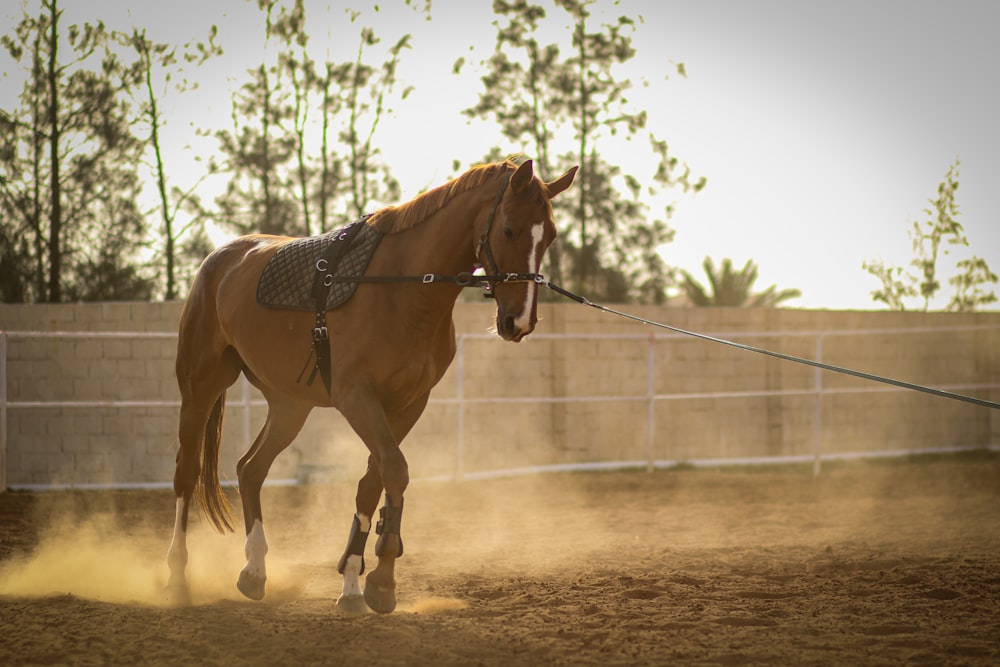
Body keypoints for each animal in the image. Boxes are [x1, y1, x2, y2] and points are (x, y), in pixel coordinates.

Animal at [168, 155, 580, 612]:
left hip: (290, 406)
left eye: (550, 237)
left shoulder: (408, 404)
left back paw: (255, 571)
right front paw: (382, 579)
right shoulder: (357, 398)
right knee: (187, 472)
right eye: (509, 229)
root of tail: (221, 259)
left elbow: (372, 482)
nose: (519, 321)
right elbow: (395, 471)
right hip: (200, 386)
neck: (402, 289)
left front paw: (353, 581)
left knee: (250, 469)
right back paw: (178, 578)